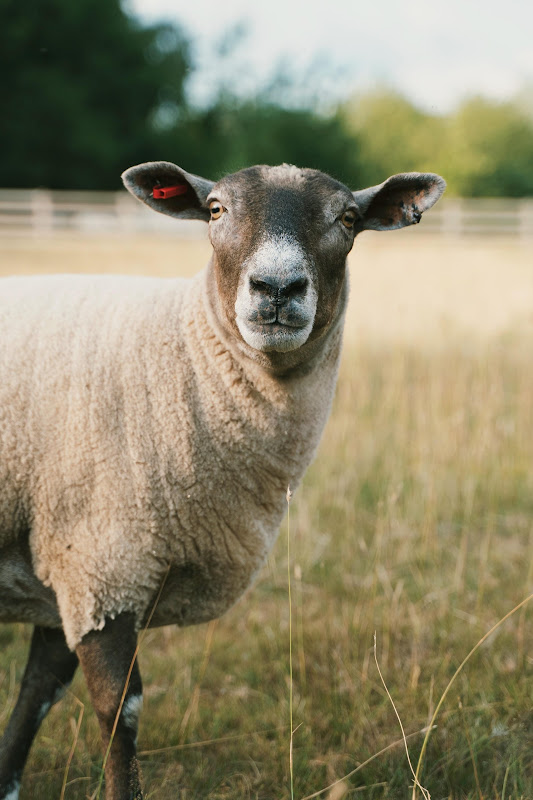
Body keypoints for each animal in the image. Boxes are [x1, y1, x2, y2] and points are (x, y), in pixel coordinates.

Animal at [0, 161, 445, 800]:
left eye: (348, 218)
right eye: (215, 210)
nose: (277, 288)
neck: (182, 359)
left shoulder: (67, 566)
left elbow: (36, 693)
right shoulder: (104, 561)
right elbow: (118, 711)